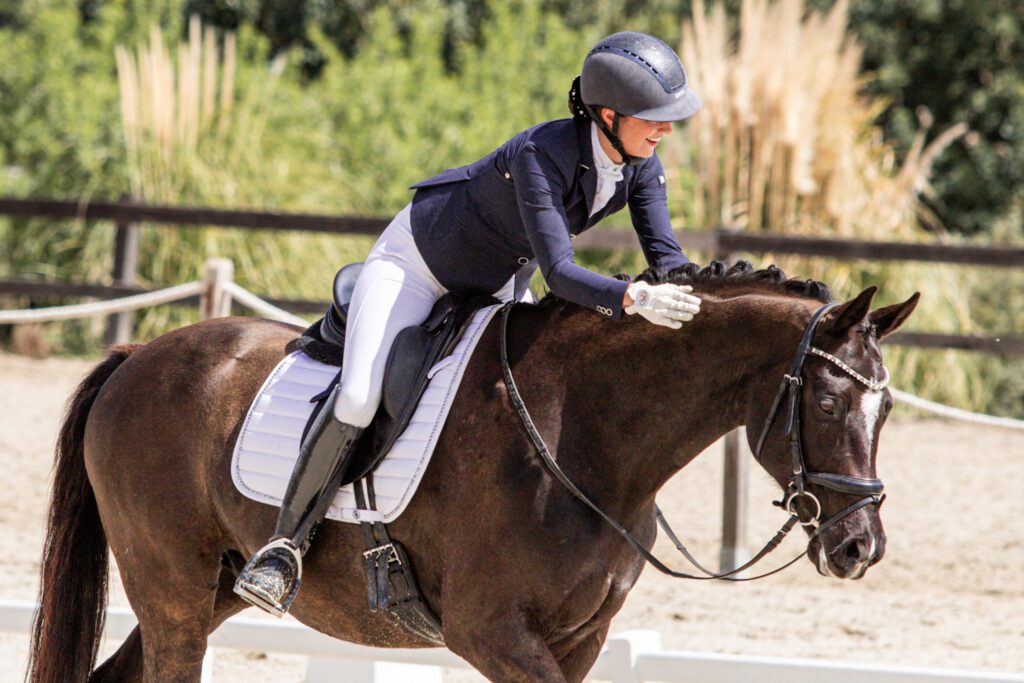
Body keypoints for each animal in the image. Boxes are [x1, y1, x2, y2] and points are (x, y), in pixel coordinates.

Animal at [28, 260, 917, 679]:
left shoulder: (579, 637)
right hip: (174, 591)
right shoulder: (489, 631)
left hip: (208, 591)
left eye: (886, 413)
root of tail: (138, 354)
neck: (587, 430)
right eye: (830, 402)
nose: (861, 548)